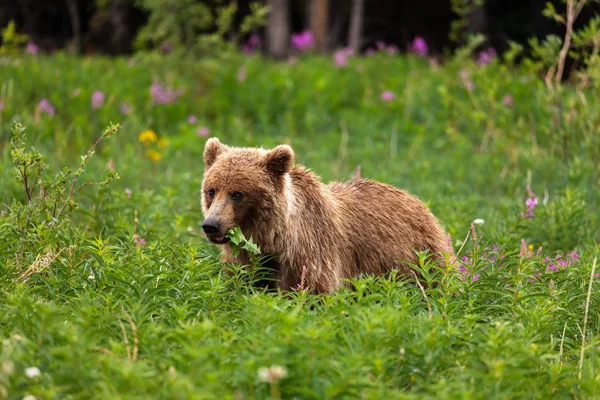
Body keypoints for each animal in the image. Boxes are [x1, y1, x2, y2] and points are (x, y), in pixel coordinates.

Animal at [199, 138, 452, 294]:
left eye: (237, 194)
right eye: (211, 190)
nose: (211, 225)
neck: (275, 238)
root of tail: (418, 201)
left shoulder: (310, 253)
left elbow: (312, 291)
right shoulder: (247, 260)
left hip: (419, 256)